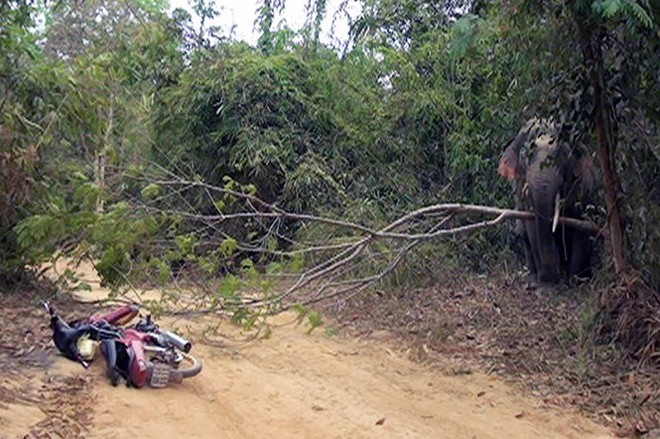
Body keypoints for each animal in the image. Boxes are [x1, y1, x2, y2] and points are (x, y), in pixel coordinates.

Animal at [498, 119, 596, 286]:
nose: (551, 277)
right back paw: (532, 275)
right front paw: (545, 282)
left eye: (562, 154)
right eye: (527, 155)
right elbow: (532, 225)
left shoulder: (583, 184)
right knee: (523, 234)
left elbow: (581, 224)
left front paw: (577, 281)